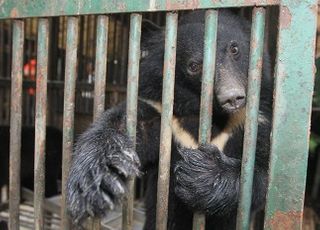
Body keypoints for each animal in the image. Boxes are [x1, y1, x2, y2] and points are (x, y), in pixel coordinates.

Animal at [66, 9, 272, 230]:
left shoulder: (252, 121)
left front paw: (203, 174)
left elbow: (260, 171)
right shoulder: (165, 118)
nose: (232, 97)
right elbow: (126, 123)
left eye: (234, 48)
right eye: (193, 66)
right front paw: (94, 181)